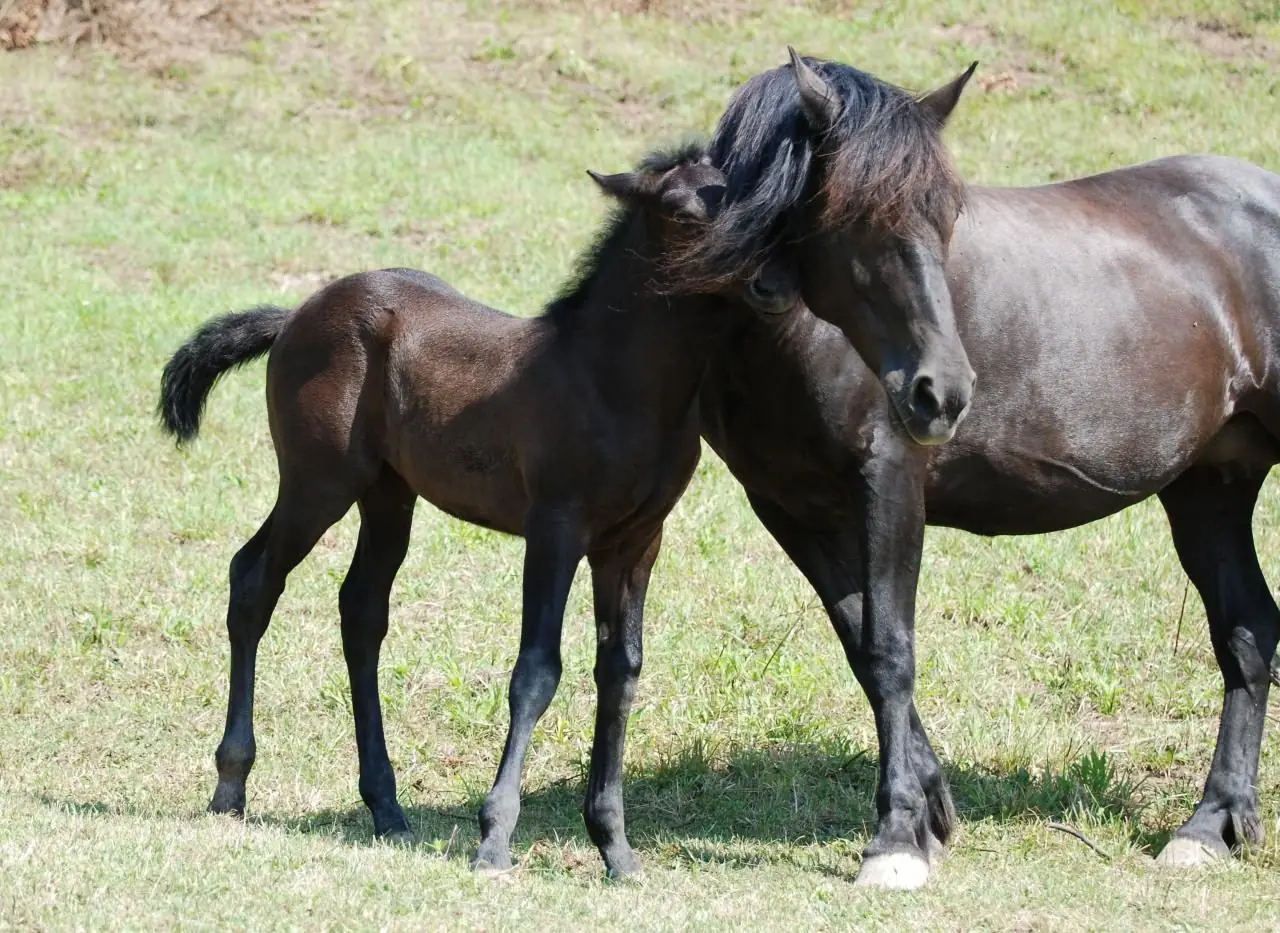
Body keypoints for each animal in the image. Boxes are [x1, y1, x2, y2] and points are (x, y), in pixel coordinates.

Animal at [157, 145, 796, 878]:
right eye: (683, 213)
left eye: (748, 201)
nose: (775, 284)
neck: (614, 383)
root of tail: (293, 316)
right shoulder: (555, 529)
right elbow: (537, 670)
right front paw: (494, 838)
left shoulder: (635, 541)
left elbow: (621, 672)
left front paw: (615, 846)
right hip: (318, 482)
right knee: (254, 577)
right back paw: (231, 783)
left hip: (388, 493)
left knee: (362, 610)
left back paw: (386, 807)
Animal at [688, 53, 1280, 889]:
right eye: (858, 216)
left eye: (947, 218)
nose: (940, 392)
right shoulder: (789, 509)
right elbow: (864, 648)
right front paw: (931, 810)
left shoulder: (889, 487)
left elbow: (891, 649)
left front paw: (896, 838)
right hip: (1210, 488)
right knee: (1249, 633)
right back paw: (1210, 825)